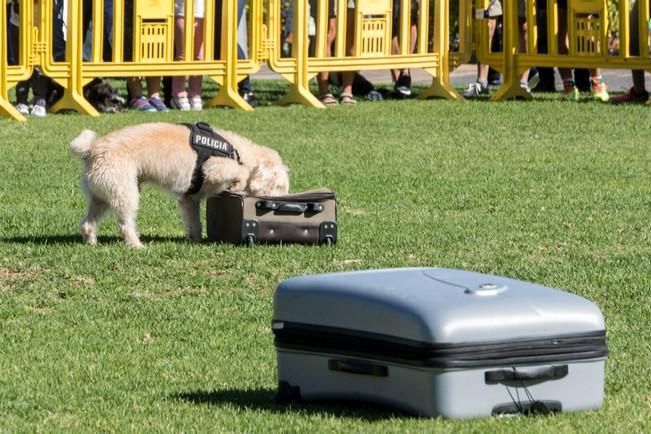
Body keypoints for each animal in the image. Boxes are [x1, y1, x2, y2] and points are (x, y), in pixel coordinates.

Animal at [69, 124, 290, 249]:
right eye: (279, 187)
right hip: (125, 193)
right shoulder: (215, 168)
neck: (237, 152)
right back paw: (137, 245)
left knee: (87, 223)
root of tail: (91, 149)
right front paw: (238, 185)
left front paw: (196, 240)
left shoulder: (189, 199)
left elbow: (195, 222)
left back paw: (91, 243)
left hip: (102, 196)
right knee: (124, 225)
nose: (281, 203)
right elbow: (241, 173)